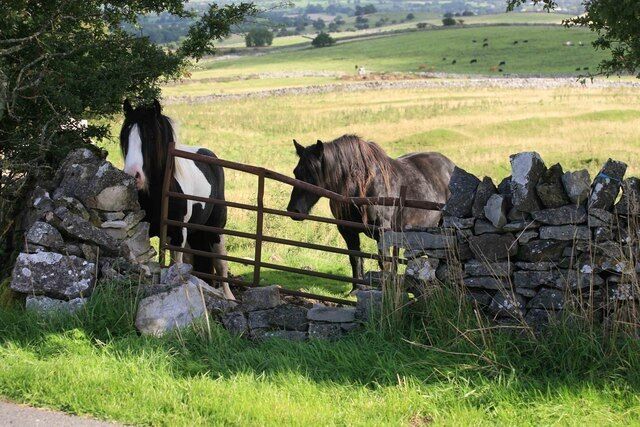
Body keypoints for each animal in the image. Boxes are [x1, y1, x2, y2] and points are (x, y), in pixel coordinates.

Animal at [119, 99, 234, 300]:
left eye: (151, 136)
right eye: (125, 135)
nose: (133, 175)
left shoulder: (178, 233)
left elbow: (176, 265)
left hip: (215, 230)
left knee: (221, 264)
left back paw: (229, 297)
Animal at [286, 135, 455, 288]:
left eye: (312, 175)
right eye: (296, 172)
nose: (294, 210)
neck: (363, 188)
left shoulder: (382, 232)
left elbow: (384, 262)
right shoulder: (347, 231)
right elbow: (355, 258)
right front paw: (356, 289)